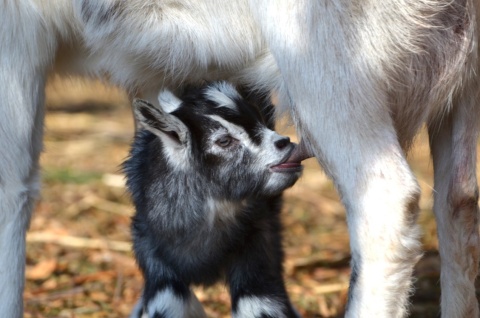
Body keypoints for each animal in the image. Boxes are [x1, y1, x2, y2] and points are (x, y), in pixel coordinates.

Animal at [124, 82, 304, 318]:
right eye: (224, 141)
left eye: (259, 118)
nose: (285, 142)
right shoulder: (151, 248)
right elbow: (167, 301)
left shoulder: (258, 239)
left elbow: (258, 301)